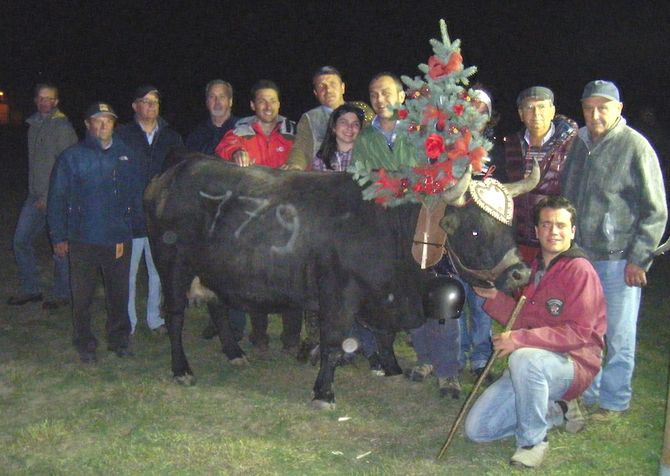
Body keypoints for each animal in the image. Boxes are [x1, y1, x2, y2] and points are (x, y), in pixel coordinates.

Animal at [144, 154, 540, 408]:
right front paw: (323, 393)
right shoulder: (337, 296)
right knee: (175, 316)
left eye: (508, 224)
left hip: (211, 271)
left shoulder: (383, 297)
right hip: (173, 267)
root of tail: (171, 174)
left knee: (217, 307)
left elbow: (385, 336)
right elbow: (333, 343)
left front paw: (392, 368)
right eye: (473, 229)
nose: (520, 272)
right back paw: (182, 370)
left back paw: (235, 353)